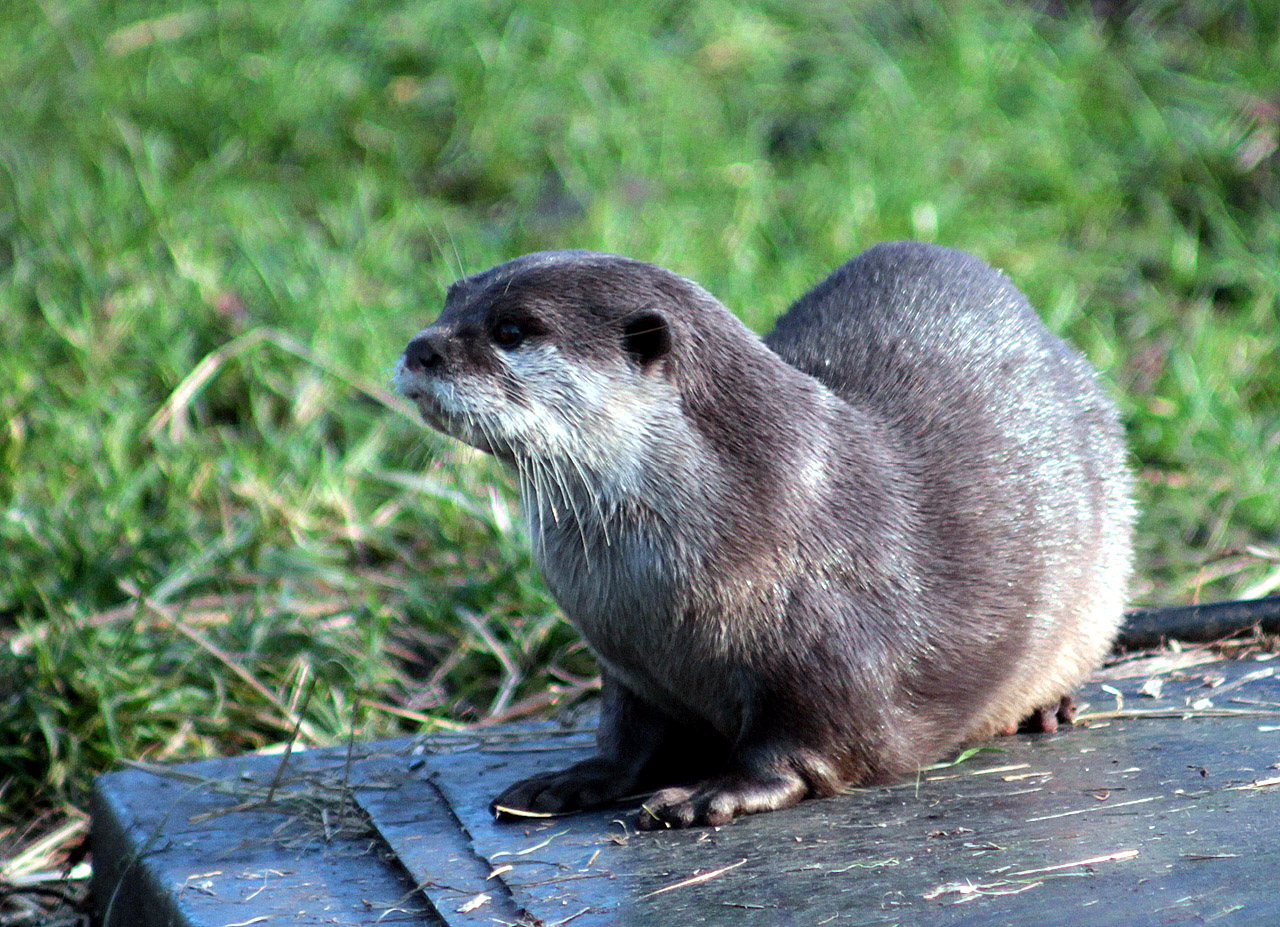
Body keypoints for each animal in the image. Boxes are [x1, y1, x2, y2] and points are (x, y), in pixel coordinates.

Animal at [391, 241, 1131, 829]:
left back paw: (1049, 707)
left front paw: (715, 792)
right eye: (450, 299)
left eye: (513, 329)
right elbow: (627, 737)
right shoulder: (627, 665)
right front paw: (574, 778)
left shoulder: (832, 647)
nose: (419, 347)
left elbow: (815, 741)